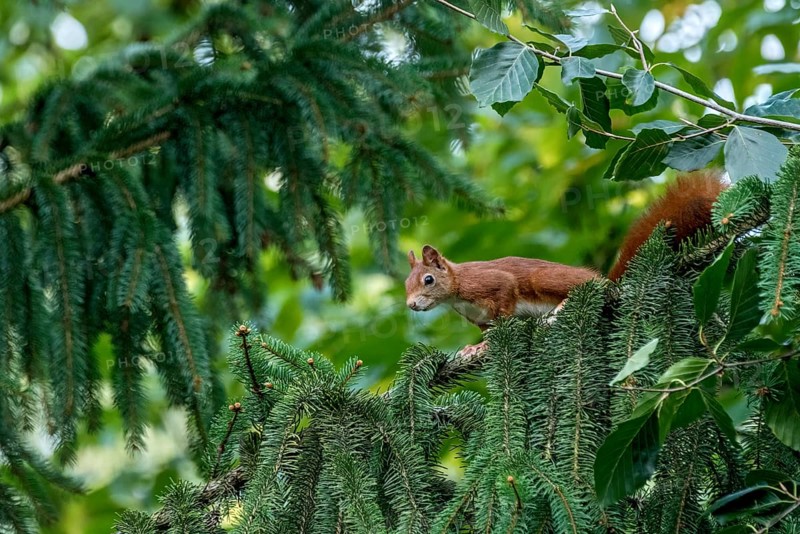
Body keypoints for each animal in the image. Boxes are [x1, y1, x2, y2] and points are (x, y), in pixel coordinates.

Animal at [405, 170, 727, 355]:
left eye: (428, 280)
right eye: (406, 285)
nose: (410, 305)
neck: (456, 292)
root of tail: (610, 282)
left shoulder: (491, 284)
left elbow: (505, 308)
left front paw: (486, 345)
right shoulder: (478, 317)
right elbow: (488, 328)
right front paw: (474, 347)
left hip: (545, 279)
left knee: (585, 287)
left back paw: (563, 307)